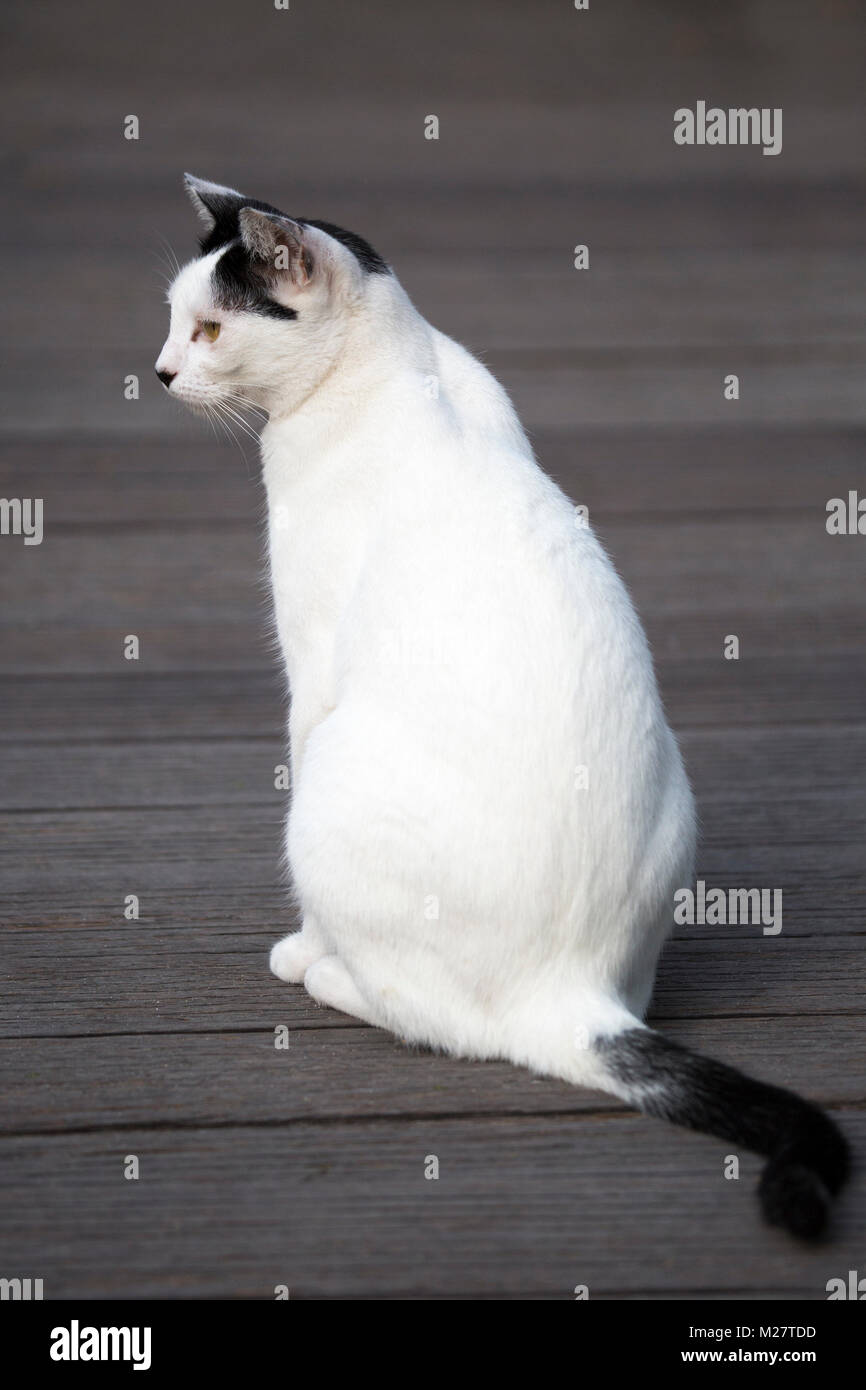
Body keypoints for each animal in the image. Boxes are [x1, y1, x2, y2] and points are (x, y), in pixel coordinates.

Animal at [154, 176, 845, 1239]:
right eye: (173, 321)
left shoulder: (313, 674)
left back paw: (327, 972)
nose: (157, 372)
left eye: (211, 329)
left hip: (335, 782)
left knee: (436, 1020)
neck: (401, 369)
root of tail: (573, 996)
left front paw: (305, 947)